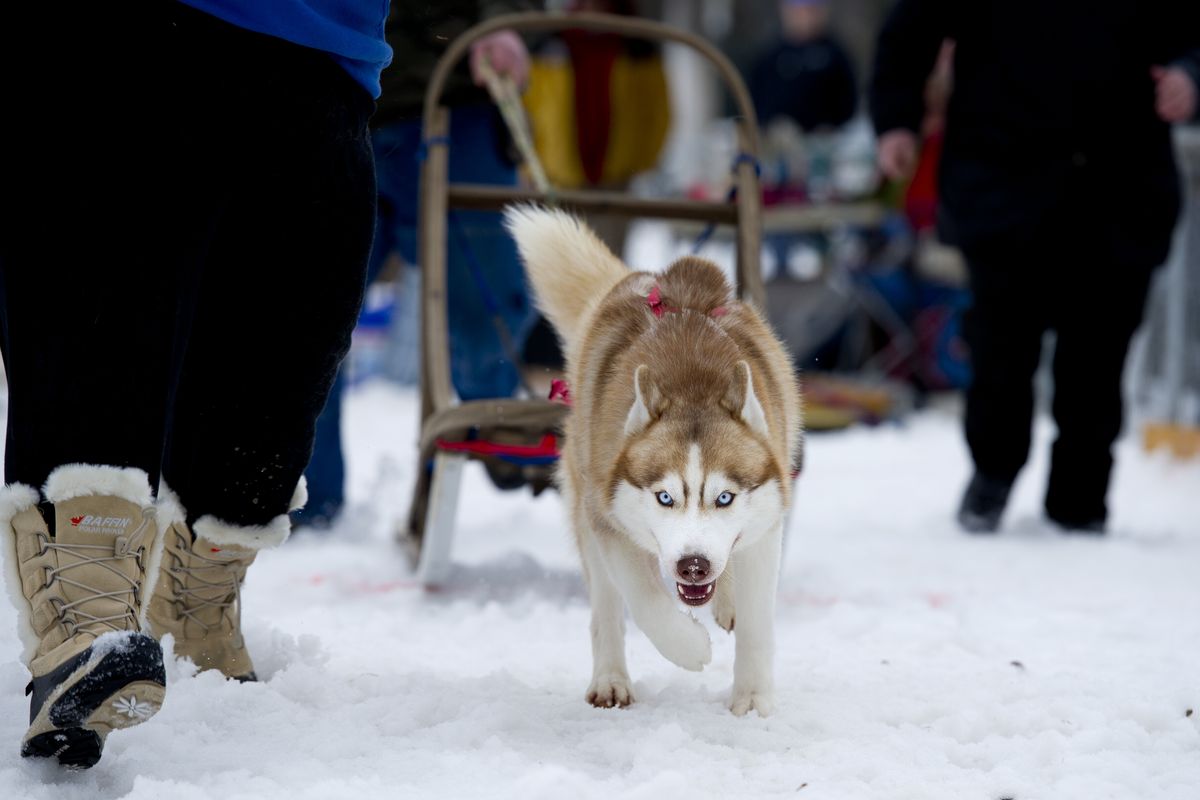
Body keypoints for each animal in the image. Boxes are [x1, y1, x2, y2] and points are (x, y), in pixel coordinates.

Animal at [501, 208, 801, 719]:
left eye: (725, 497)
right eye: (665, 497)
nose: (694, 566)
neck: (692, 381)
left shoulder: (767, 525)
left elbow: (758, 621)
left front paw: (753, 699)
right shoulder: (606, 517)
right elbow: (643, 601)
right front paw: (689, 647)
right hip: (584, 507)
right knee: (606, 610)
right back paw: (610, 679)